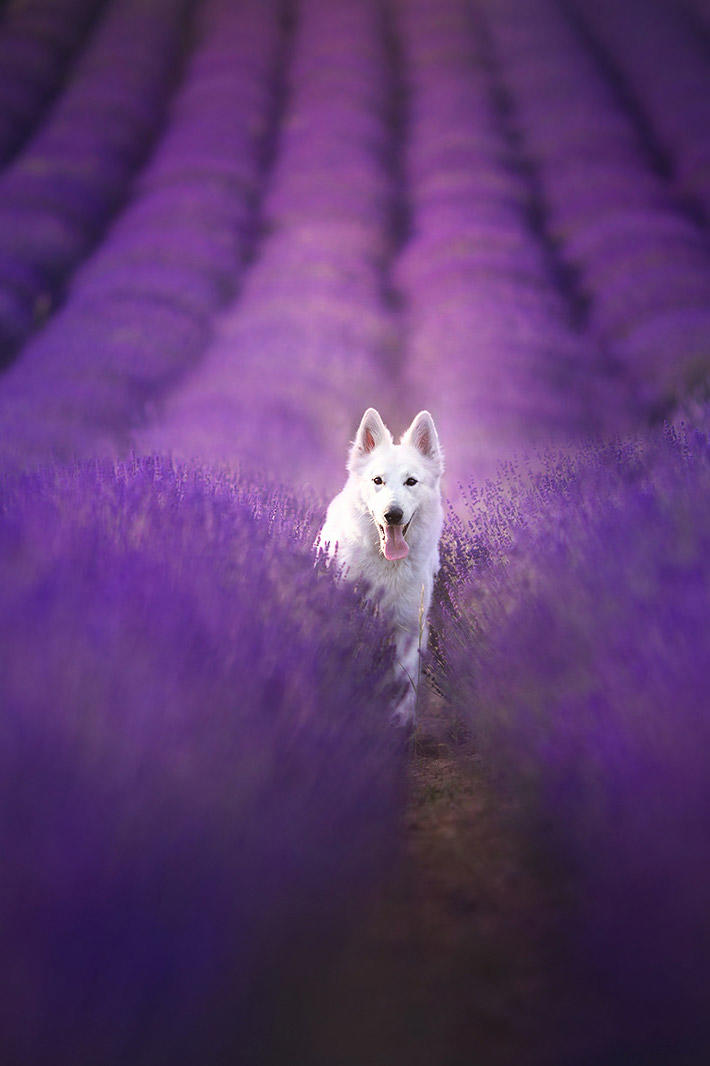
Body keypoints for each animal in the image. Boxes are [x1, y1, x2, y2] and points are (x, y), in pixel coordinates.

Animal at [315, 407, 443, 724]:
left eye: (411, 482)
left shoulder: (408, 628)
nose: (392, 514)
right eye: (377, 481)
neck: (387, 567)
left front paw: (400, 723)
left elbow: (404, 683)